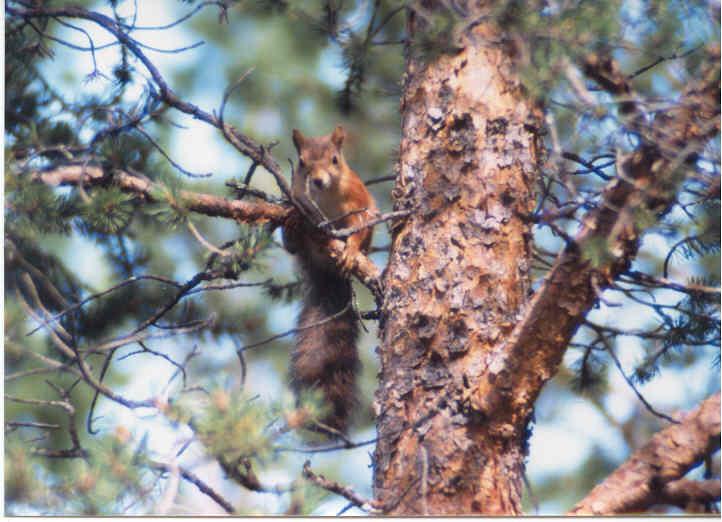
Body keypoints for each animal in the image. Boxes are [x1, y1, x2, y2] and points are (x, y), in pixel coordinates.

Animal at [282, 124, 376, 432]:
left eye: (335, 159)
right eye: (301, 163)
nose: (318, 181)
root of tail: (325, 272)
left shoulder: (359, 201)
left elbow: (361, 224)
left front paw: (351, 250)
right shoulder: (297, 196)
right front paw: (291, 220)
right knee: (293, 247)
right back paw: (292, 230)